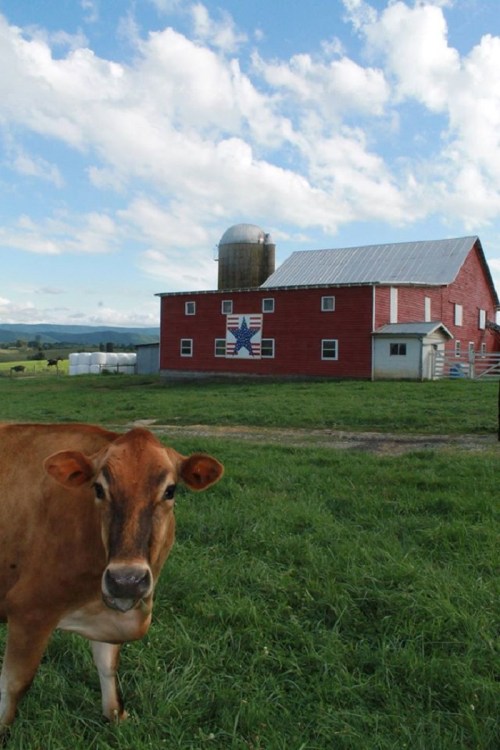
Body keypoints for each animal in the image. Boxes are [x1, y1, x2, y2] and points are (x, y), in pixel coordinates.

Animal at [0, 423, 224, 732]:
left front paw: (115, 716)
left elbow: (108, 665)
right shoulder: (29, 610)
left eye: (170, 490)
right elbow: (14, 684)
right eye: (98, 488)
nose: (126, 579)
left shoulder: (113, 608)